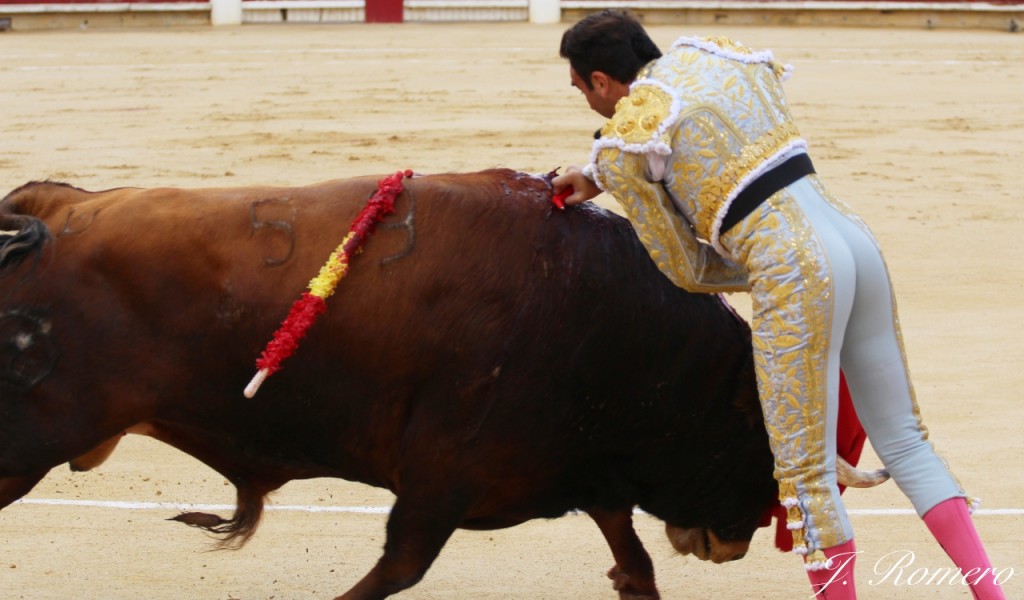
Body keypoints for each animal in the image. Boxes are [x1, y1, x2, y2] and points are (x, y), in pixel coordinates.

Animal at [0, 167, 880, 597]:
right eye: (752, 441)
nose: (732, 542)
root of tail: (52, 214)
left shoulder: (572, 472)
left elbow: (633, 564)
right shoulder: (442, 482)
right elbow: (395, 572)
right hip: (26, 445)